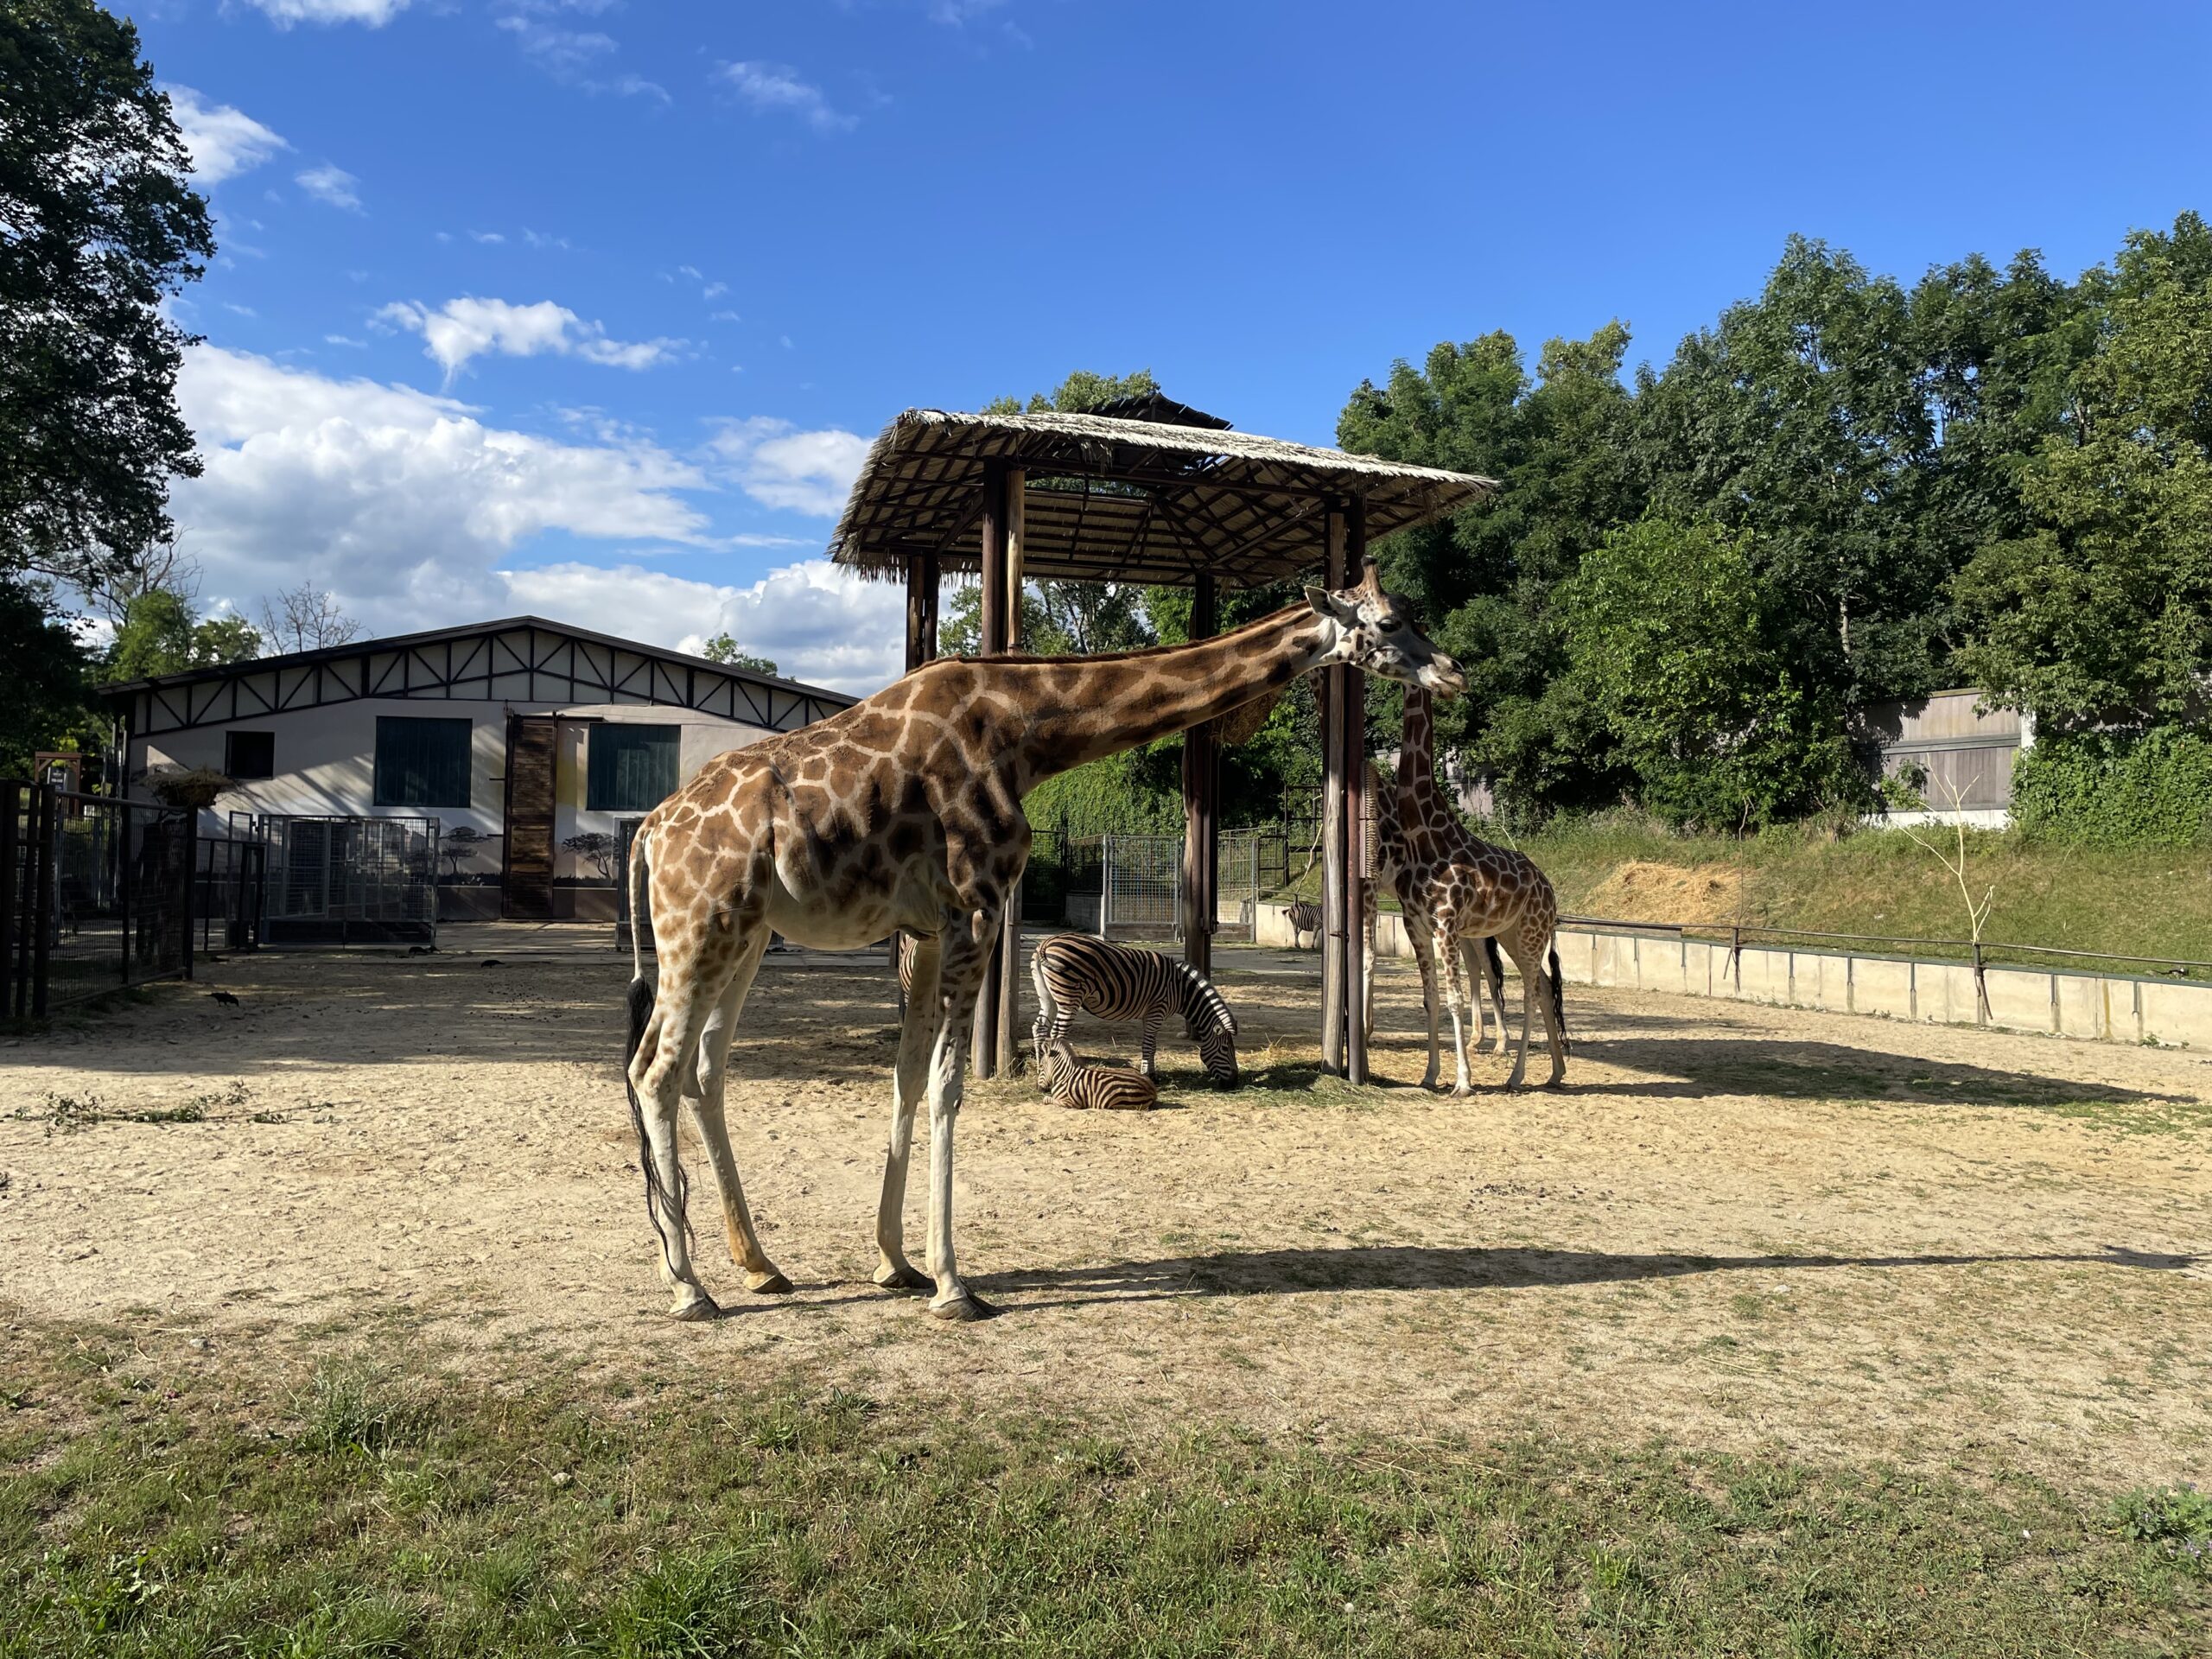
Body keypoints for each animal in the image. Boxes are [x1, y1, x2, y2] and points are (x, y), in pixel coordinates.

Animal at [1026, 938, 1238, 1092]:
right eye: (1226, 1049)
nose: (1234, 1083)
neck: (1181, 989)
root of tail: (1046, 943)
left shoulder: (1150, 1014)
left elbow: (1152, 1046)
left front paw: (1153, 1074)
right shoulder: (1157, 1010)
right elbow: (1149, 1045)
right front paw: (1148, 1076)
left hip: (1048, 996)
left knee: (1039, 1028)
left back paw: (1040, 1068)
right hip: (1068, 998)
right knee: (1057, 1035)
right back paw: (1057, 1077)